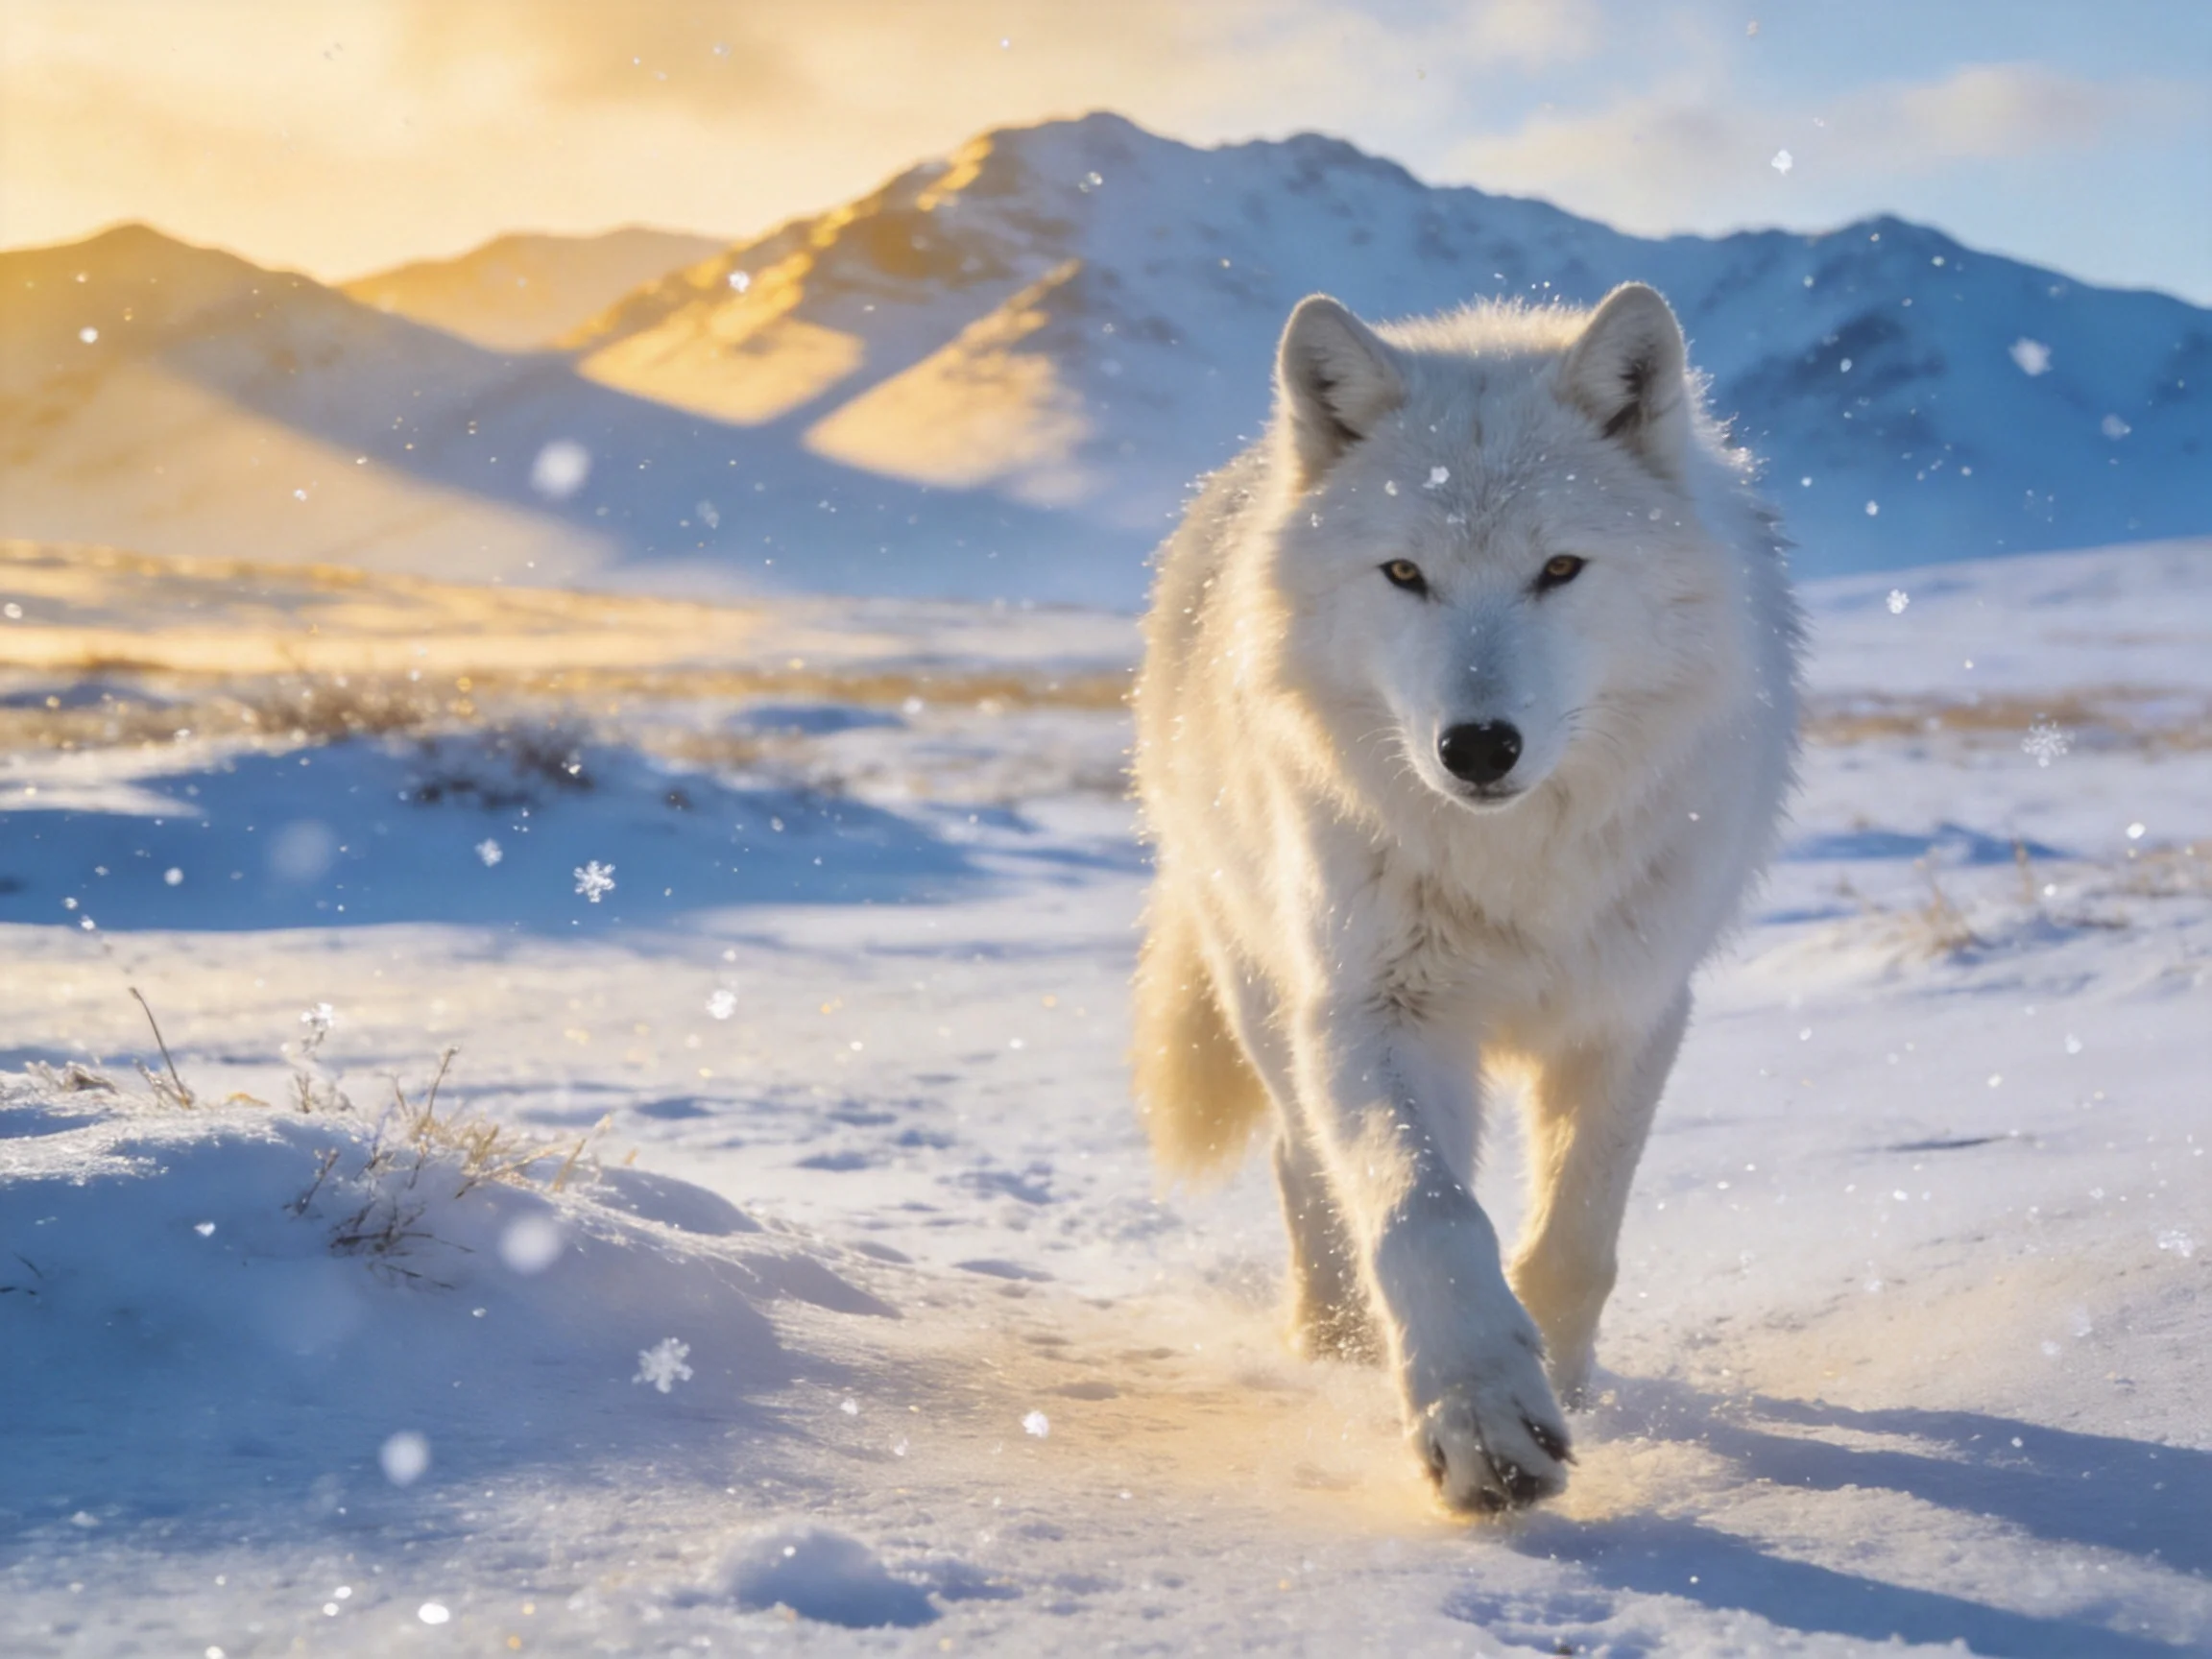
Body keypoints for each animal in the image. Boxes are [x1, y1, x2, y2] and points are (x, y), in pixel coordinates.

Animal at [1131, 284, 1801, 1512]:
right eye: (1404, 575)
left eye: (1562, 569)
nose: (1478, 746)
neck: (1512, 865)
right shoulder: (1372, 1009)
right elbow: (1424, 1214)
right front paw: (1479, 1418)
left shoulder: (1631, 1009)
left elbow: (1577, 1238)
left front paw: (1559, 1381)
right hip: (1264, 986)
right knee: (1306, 1166)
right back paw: (1334, 1347)